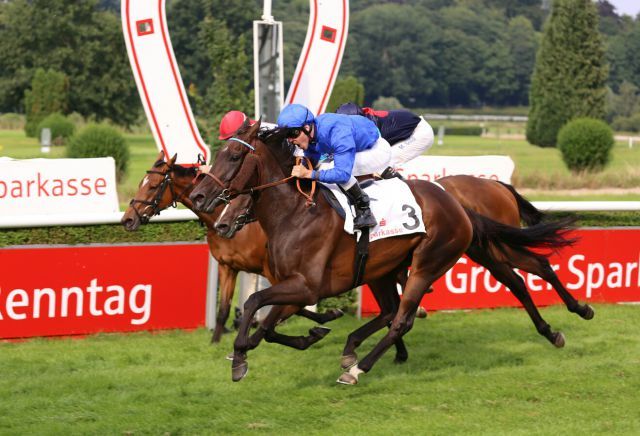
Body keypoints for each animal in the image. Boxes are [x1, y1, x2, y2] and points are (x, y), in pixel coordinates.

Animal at [120, 152, 344, 342]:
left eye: (153, 186)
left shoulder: (271, 270)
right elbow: (223, 311)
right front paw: (216, 342)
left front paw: (327, 316)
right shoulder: (227, 267)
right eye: (141, 183)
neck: (223, 216)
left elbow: (288, 304)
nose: (127, 219)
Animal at [188, 121, 572, 384]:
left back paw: (358, 368)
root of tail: (457, 204)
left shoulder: (307, 287)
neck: (297, 212)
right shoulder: (295, 287)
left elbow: (255, 304)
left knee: (402, 318)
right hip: (385, 269)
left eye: (234, 156)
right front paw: (303, 337)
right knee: (393, 310)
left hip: (430, 262)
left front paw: (240, 356)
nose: (199, 197)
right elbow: (266, 323)